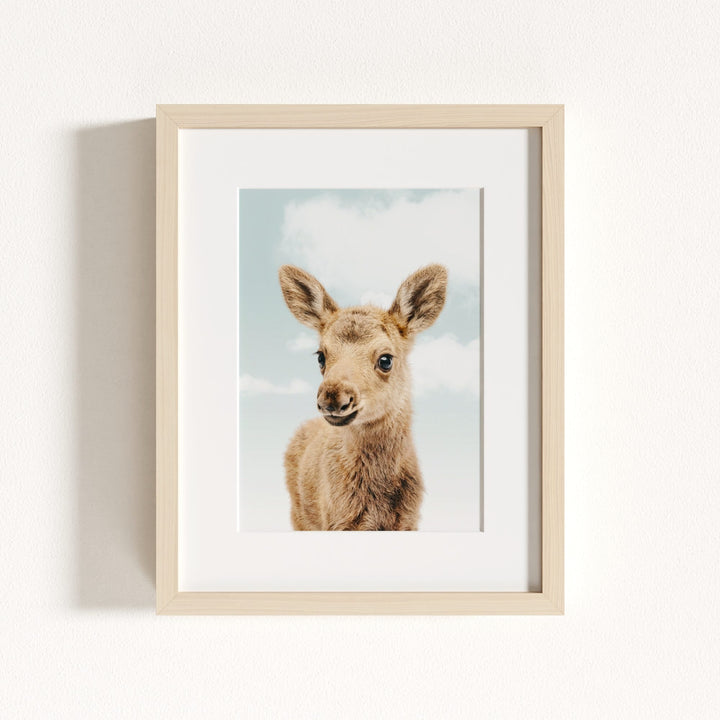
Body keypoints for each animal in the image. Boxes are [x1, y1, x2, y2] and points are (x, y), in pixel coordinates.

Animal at [278, 263, 447, 531]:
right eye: (321, 356)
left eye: (386, 359)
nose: (333, 398)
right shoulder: (336, 521)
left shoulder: (409, 520)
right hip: (299, 514)